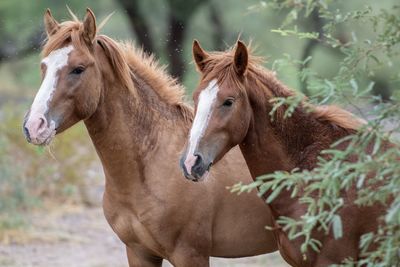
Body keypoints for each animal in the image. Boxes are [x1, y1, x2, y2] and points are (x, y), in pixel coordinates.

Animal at [21, 9, 278, 267]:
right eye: (44, 67)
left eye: (78, 69)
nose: (34, 126)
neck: (152, 164)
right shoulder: (138, 252)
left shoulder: (190, 254)